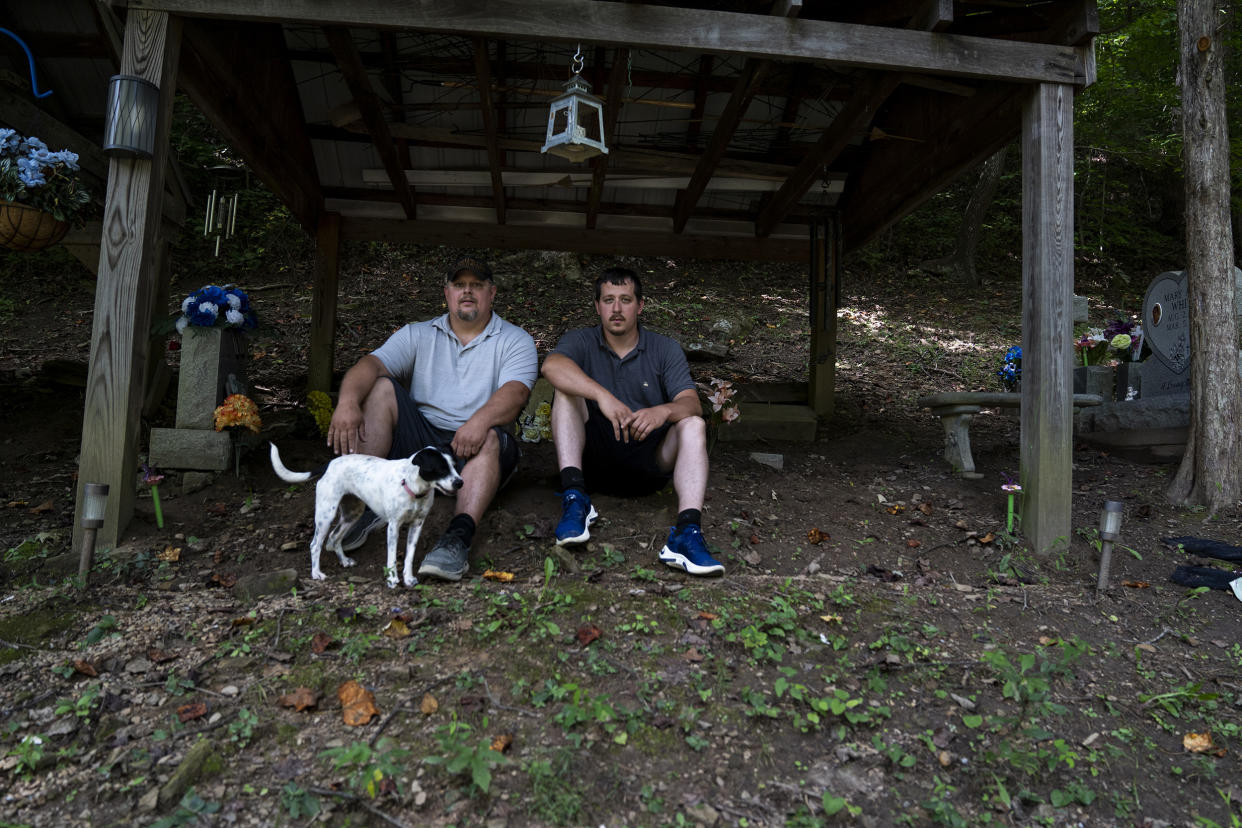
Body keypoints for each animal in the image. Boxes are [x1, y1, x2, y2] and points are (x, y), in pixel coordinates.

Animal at [269, 444, 464, 585]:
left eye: (454, 466)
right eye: (439, 468)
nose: (460, 483)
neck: (413, 488)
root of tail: (329, 465)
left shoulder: (417, 525)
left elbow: (409, 555)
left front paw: (408, 578)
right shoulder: (393, 527)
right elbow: (392, 557)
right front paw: (392, 579)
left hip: (352, 514)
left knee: (334, 536)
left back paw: (344, 561)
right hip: (325, 515)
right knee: (315, 544)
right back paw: (316, 573)